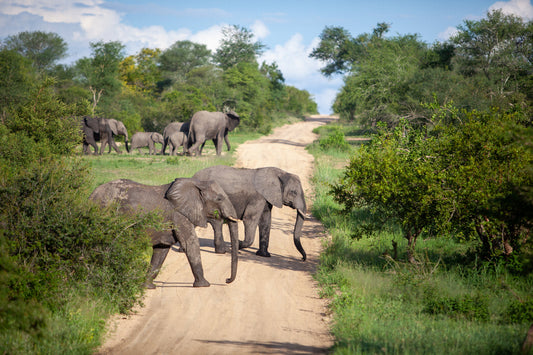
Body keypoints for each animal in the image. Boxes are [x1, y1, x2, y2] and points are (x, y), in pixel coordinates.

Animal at [89, 178, 239, 290]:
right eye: (219, 199)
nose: (226, 280)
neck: (196, 183)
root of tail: (91, 195)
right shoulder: (179, 214)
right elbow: (190, 243)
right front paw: (204, 285)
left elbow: (161, 249)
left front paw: (147, 287)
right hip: (104, 213)